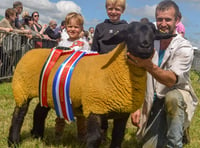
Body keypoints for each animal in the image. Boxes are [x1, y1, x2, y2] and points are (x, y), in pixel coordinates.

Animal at [7, 21, 175, 147]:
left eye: (153, 33)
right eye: (128, 33)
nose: (145, 45)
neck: (115, 70)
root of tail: (30, 52)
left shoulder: (123, 113)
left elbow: (118, 137)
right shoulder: (95, 106)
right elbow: (95, 138)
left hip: (45, 92)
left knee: (39, 111)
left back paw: (37, 136)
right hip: (21, 88)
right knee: (19, 114)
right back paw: (14, 141)